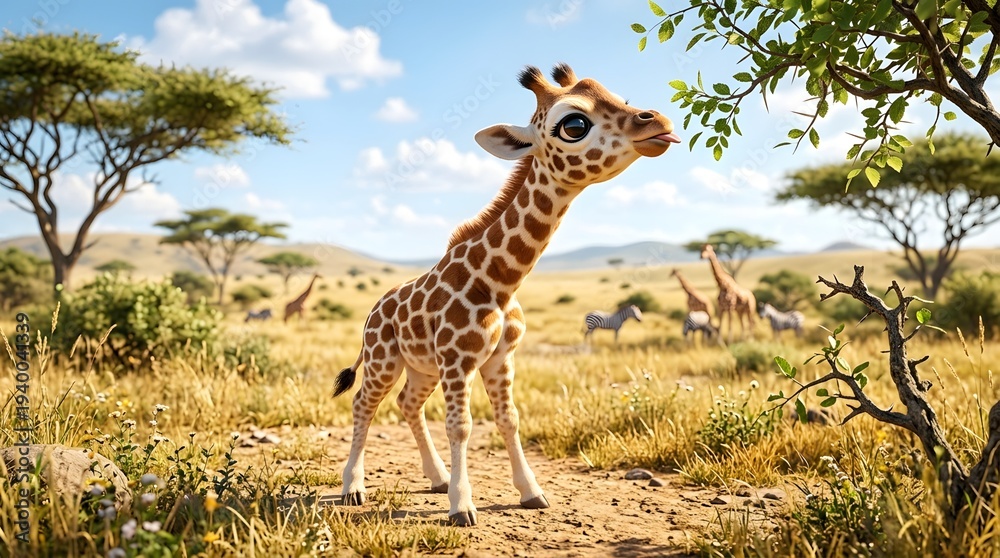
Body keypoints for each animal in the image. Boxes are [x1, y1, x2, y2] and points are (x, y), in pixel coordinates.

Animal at [332, 64, 679, 527]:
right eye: (574, 125)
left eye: (620, 97)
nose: (658, 122)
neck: (500, 280)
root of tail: (373, 311)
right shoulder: (458, 360)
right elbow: (461, 426)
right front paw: (462, 508)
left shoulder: (499, 357)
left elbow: (510, 419)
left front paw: (531, 492)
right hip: (383, 359)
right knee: (362, 404)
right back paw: (353, 488)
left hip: (422, 367)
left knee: (408, 404)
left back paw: (436, 478)